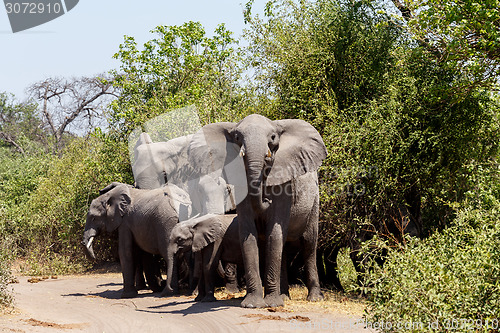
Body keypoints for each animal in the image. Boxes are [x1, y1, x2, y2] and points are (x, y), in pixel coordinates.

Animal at [188, 113, 328, 306]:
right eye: (237, 138)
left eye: (273, 137)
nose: (266, 199)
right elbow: (249, 234)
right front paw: (253, 304)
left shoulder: (285, 187)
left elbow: (274, 232)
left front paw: (273, 304)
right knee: (283, 248)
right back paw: (284, 296)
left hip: (314, 201)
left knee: (309, 244)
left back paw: (314, 298)